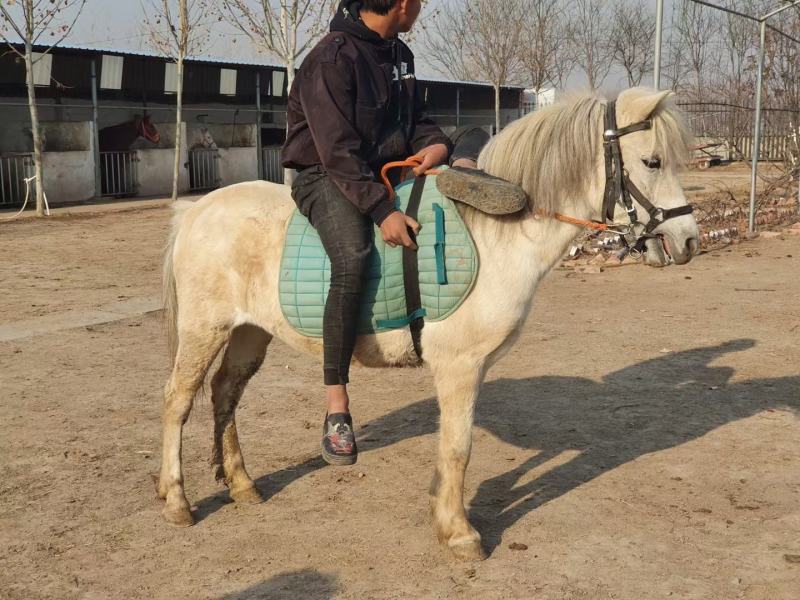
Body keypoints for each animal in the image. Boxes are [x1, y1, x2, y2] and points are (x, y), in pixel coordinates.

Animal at [156, 87, 700, 561]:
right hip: (204, 330)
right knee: (178, 401)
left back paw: (242, 484)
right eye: (653, 162)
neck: (496, 234)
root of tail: (196, 210)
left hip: (250, 331)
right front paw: (460, 533)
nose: (689, 240)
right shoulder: (459, 366)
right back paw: (177, 501)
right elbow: (459, 446)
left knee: (225, 393)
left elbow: (450, 446)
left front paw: (442, 510)